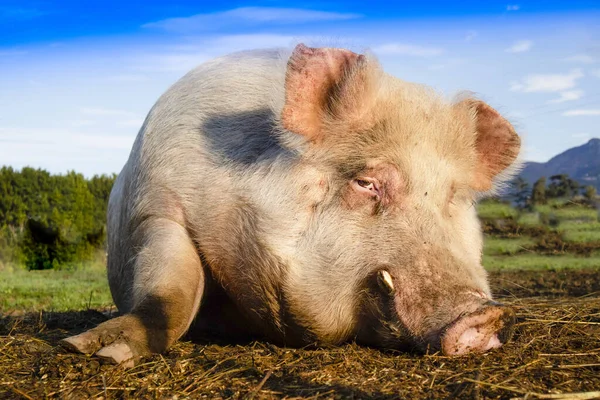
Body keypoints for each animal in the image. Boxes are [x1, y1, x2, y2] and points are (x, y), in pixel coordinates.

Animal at [61, 43, 520, 366]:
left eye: (453, 196)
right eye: (367, 182)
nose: (483, 315)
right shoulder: (158, 206)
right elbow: (169, 291)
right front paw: (93, 350)